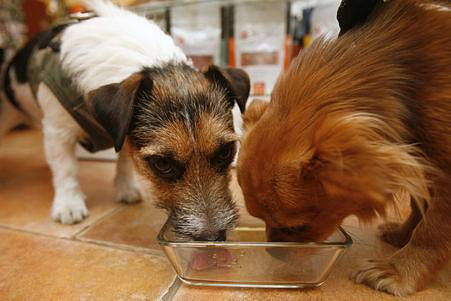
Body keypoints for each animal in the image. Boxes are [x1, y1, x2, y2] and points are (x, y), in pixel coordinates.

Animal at [0, 0, 251, 239]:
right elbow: (66, 169)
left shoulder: (121, 132)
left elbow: (123, 160)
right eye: (162, 164)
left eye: (226, 152)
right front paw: (69, 205)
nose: (213, 236)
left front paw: (125, 188)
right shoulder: (58, 131)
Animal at [238, 0, 450, 296]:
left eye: (299, 227)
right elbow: (420, 208)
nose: (273, 253)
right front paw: (401, 235)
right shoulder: (424, 165)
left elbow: (432, 230)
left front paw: (398, 270)